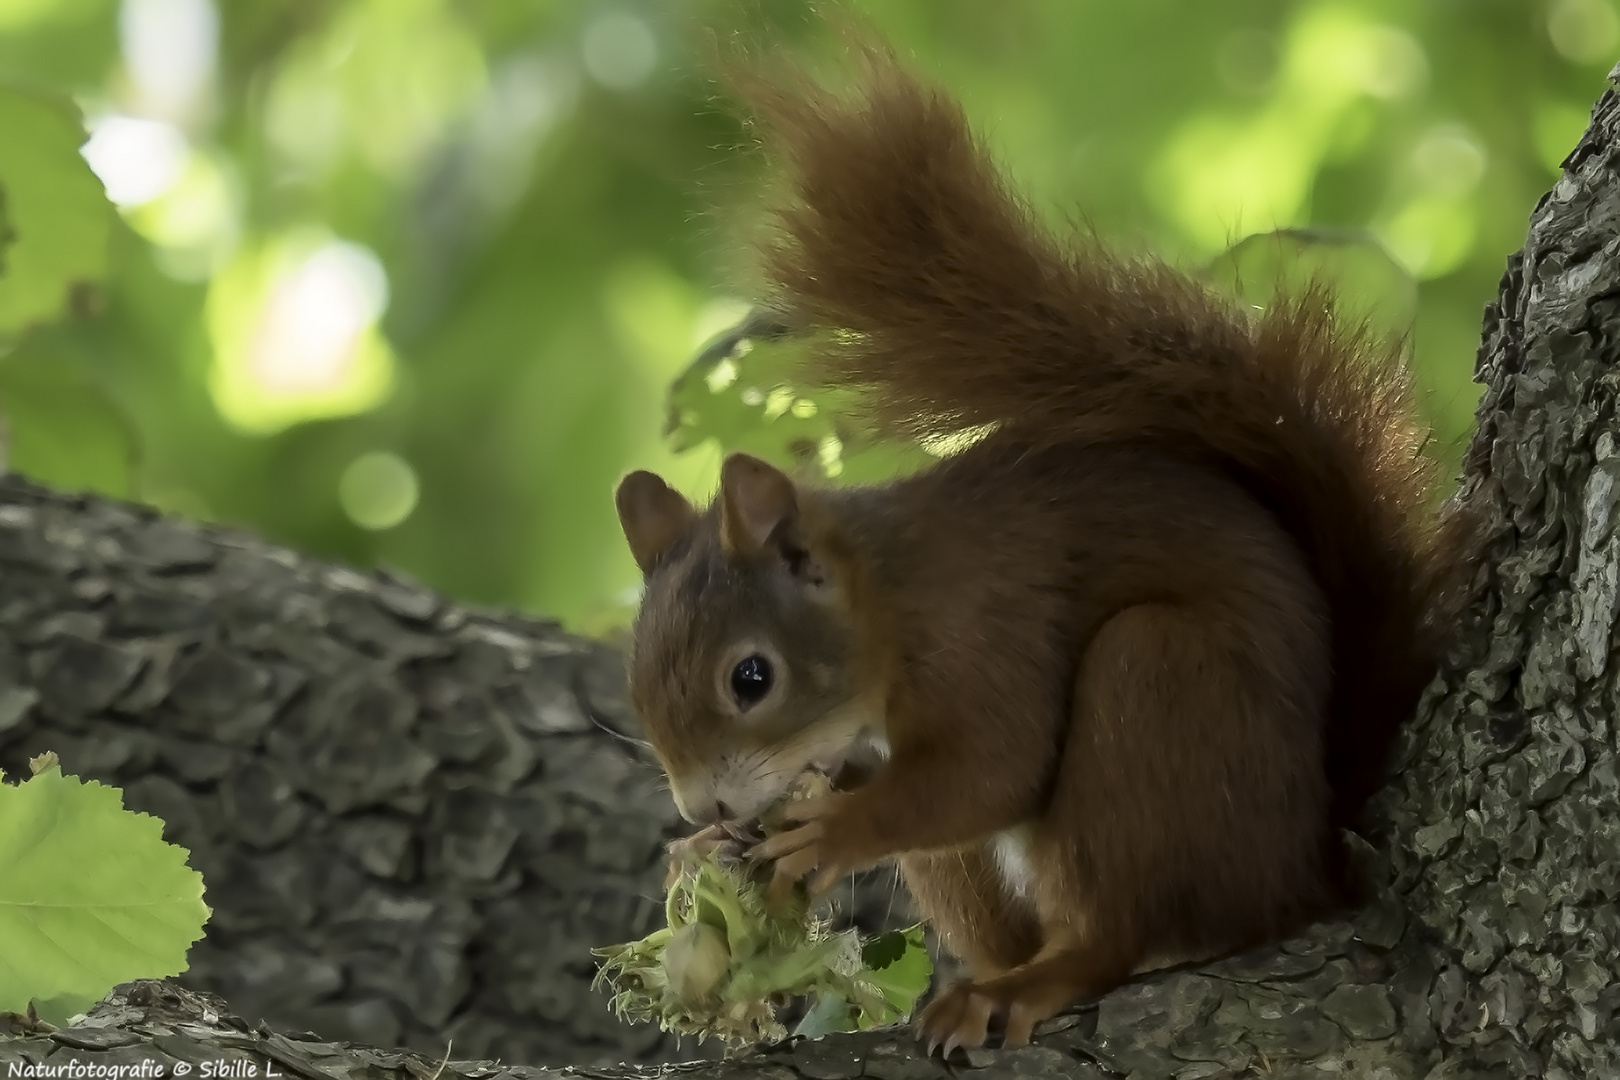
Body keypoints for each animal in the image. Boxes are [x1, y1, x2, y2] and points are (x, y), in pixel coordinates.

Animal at [612, 46, 1477, 1049]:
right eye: (638, 691)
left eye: (751, 678)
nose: (705, 805)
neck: (890, 599)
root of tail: (1306, 868)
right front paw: (702, 850)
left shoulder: (985, 631)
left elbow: (994, 766)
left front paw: (830, 832)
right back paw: (984, 981)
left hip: (1160, 689)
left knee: (1111, 931)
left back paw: (1033, 981)